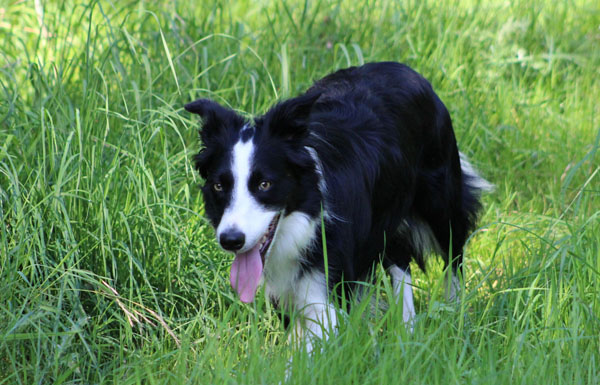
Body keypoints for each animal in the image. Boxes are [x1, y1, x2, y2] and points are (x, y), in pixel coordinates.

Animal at [185, 61, 490, 350]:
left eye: (264, 184)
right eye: (219, 186)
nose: (231, 240)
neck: (304, 222)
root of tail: (405, 69)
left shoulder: (327, 286)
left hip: (440, 199)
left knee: (454, 255)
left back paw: (456, 318)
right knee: (400, 260)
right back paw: (407, 333)